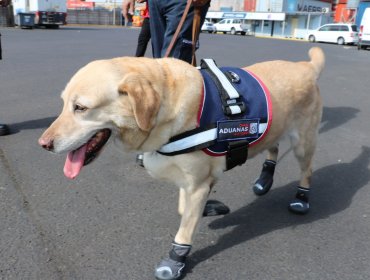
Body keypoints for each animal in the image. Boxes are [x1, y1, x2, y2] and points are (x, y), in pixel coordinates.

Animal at [39, 48, 324, 280]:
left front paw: (176, 259)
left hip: (303, 143)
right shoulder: (192, 180)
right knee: (272, 147)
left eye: (80, 107)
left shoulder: (197, 182)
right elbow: (184, 208)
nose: (43, 144)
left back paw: (302, 199)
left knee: (307, 170)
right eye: (63, 104)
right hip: (274, 129)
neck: (164, 109)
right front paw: (208, 207)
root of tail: (306, 66)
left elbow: (184, 230)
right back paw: (264, 180)